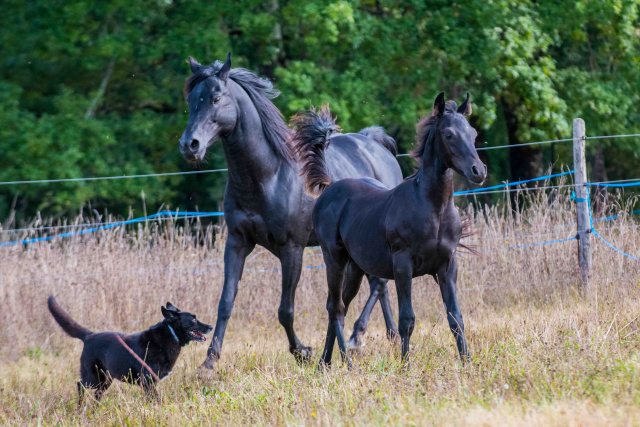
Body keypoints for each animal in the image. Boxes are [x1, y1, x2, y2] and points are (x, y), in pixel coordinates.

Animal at [48, 296, 212, 402]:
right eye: (193, 319)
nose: (211, 326)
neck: (170, 334)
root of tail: (89, 335)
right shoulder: (148, 383)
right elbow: (156, 401)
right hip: (94, 378)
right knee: (80, 385)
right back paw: (81, 409)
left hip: (106, 380)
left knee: (96, 394)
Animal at [178, 51, 402, 370]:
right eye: (191, 99)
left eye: (216, 98)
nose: (190, 145)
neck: (267, 175)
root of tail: (375, 144)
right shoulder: (237, 243)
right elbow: (226, 302)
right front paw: (209, 362)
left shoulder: (292, 249)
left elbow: (286, 310)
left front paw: (302, 352)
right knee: (378, 284)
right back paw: (387, 335)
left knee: (378, 282)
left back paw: (359, 338)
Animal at [292, 93, 488, 368]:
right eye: (449, 134)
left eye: (473, 132)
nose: (478, 171)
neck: (433, 209)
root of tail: (330, 186)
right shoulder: (403, 265)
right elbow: (407, 319)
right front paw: (405, 366)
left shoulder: (447, 265)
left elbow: (455, 318)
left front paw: (467, 362)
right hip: (333, 258)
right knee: (335, 307)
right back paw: (345, 363)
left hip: (355, 268)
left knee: (340, 305)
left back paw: (325, 364)